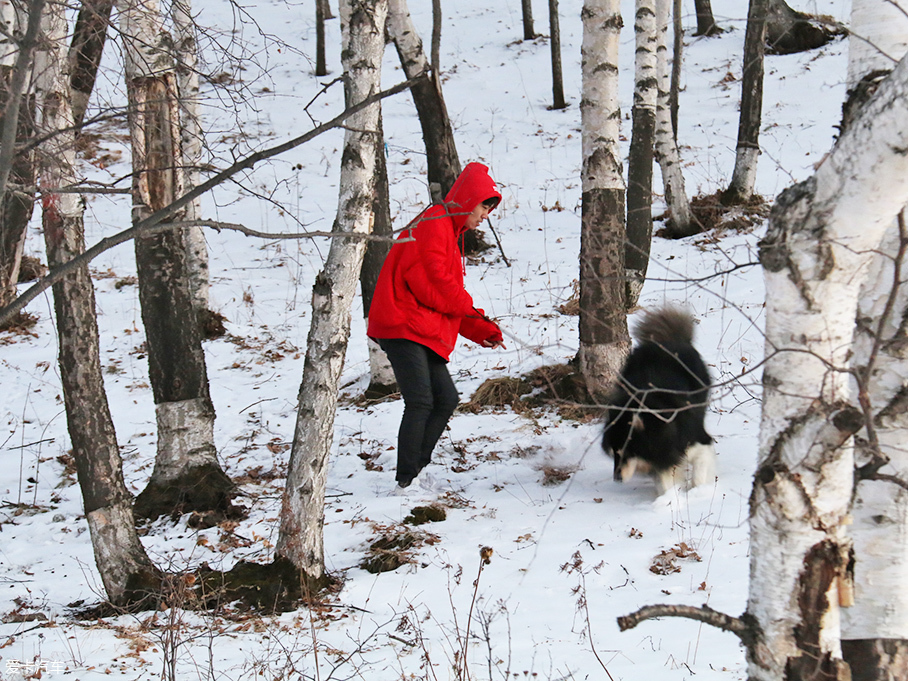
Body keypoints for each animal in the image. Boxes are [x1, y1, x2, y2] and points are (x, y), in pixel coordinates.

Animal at [604, 306, 716, 492]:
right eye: (613, 454)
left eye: (627, 453)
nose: (617, 479)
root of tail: (668, 340)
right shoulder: (660, 458)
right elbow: (665, 481)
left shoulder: (697, 440)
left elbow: (699, 473)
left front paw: (698, 492)